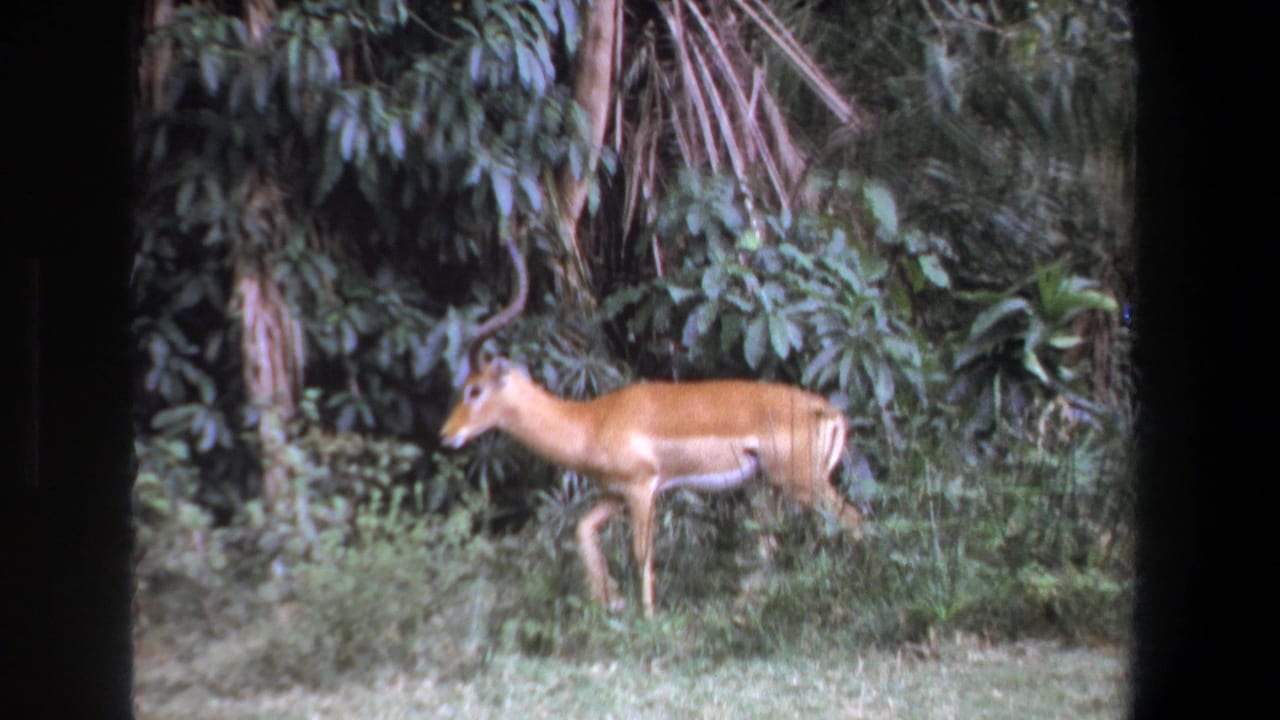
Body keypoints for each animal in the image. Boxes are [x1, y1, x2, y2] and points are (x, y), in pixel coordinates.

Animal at [440, 237, 864, 617]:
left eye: (474, 389)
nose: (447, 434)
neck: (592, 422)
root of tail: (829, 412)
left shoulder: (643, 488)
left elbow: (641, 553)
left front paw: (646, 618)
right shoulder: (615, 493)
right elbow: (583, 530)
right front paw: (609, 600)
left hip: (802, 484)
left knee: (852, 521)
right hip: (767, 488)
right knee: (773, 544)